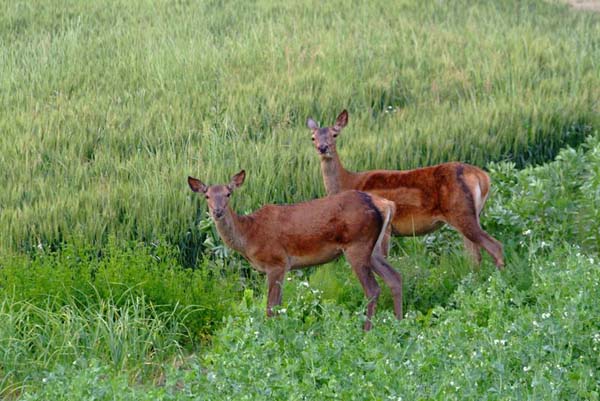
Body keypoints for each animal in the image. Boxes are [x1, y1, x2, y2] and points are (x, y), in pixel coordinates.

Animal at [188, 170, 404, 330]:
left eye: (228, 193)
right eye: (207, 195)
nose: (217, 211)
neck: (249, 236)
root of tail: (384, 204)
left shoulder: (276, 261)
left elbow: (271, 307)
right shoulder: (283, 267)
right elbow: (279, 305)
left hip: (357, 245)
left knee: (373, 289)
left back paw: (367, 330)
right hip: (375, 248)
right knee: (395, 277)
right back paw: (399, 323)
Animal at [308, 109, 504, 268]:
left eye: (335, 134)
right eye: (313, 137)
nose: (322, 148)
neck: (350, 182)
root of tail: (482, 176)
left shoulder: (385, 229)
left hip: (460, 211)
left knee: (494, 246)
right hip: (472, 214)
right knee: (475, 255)